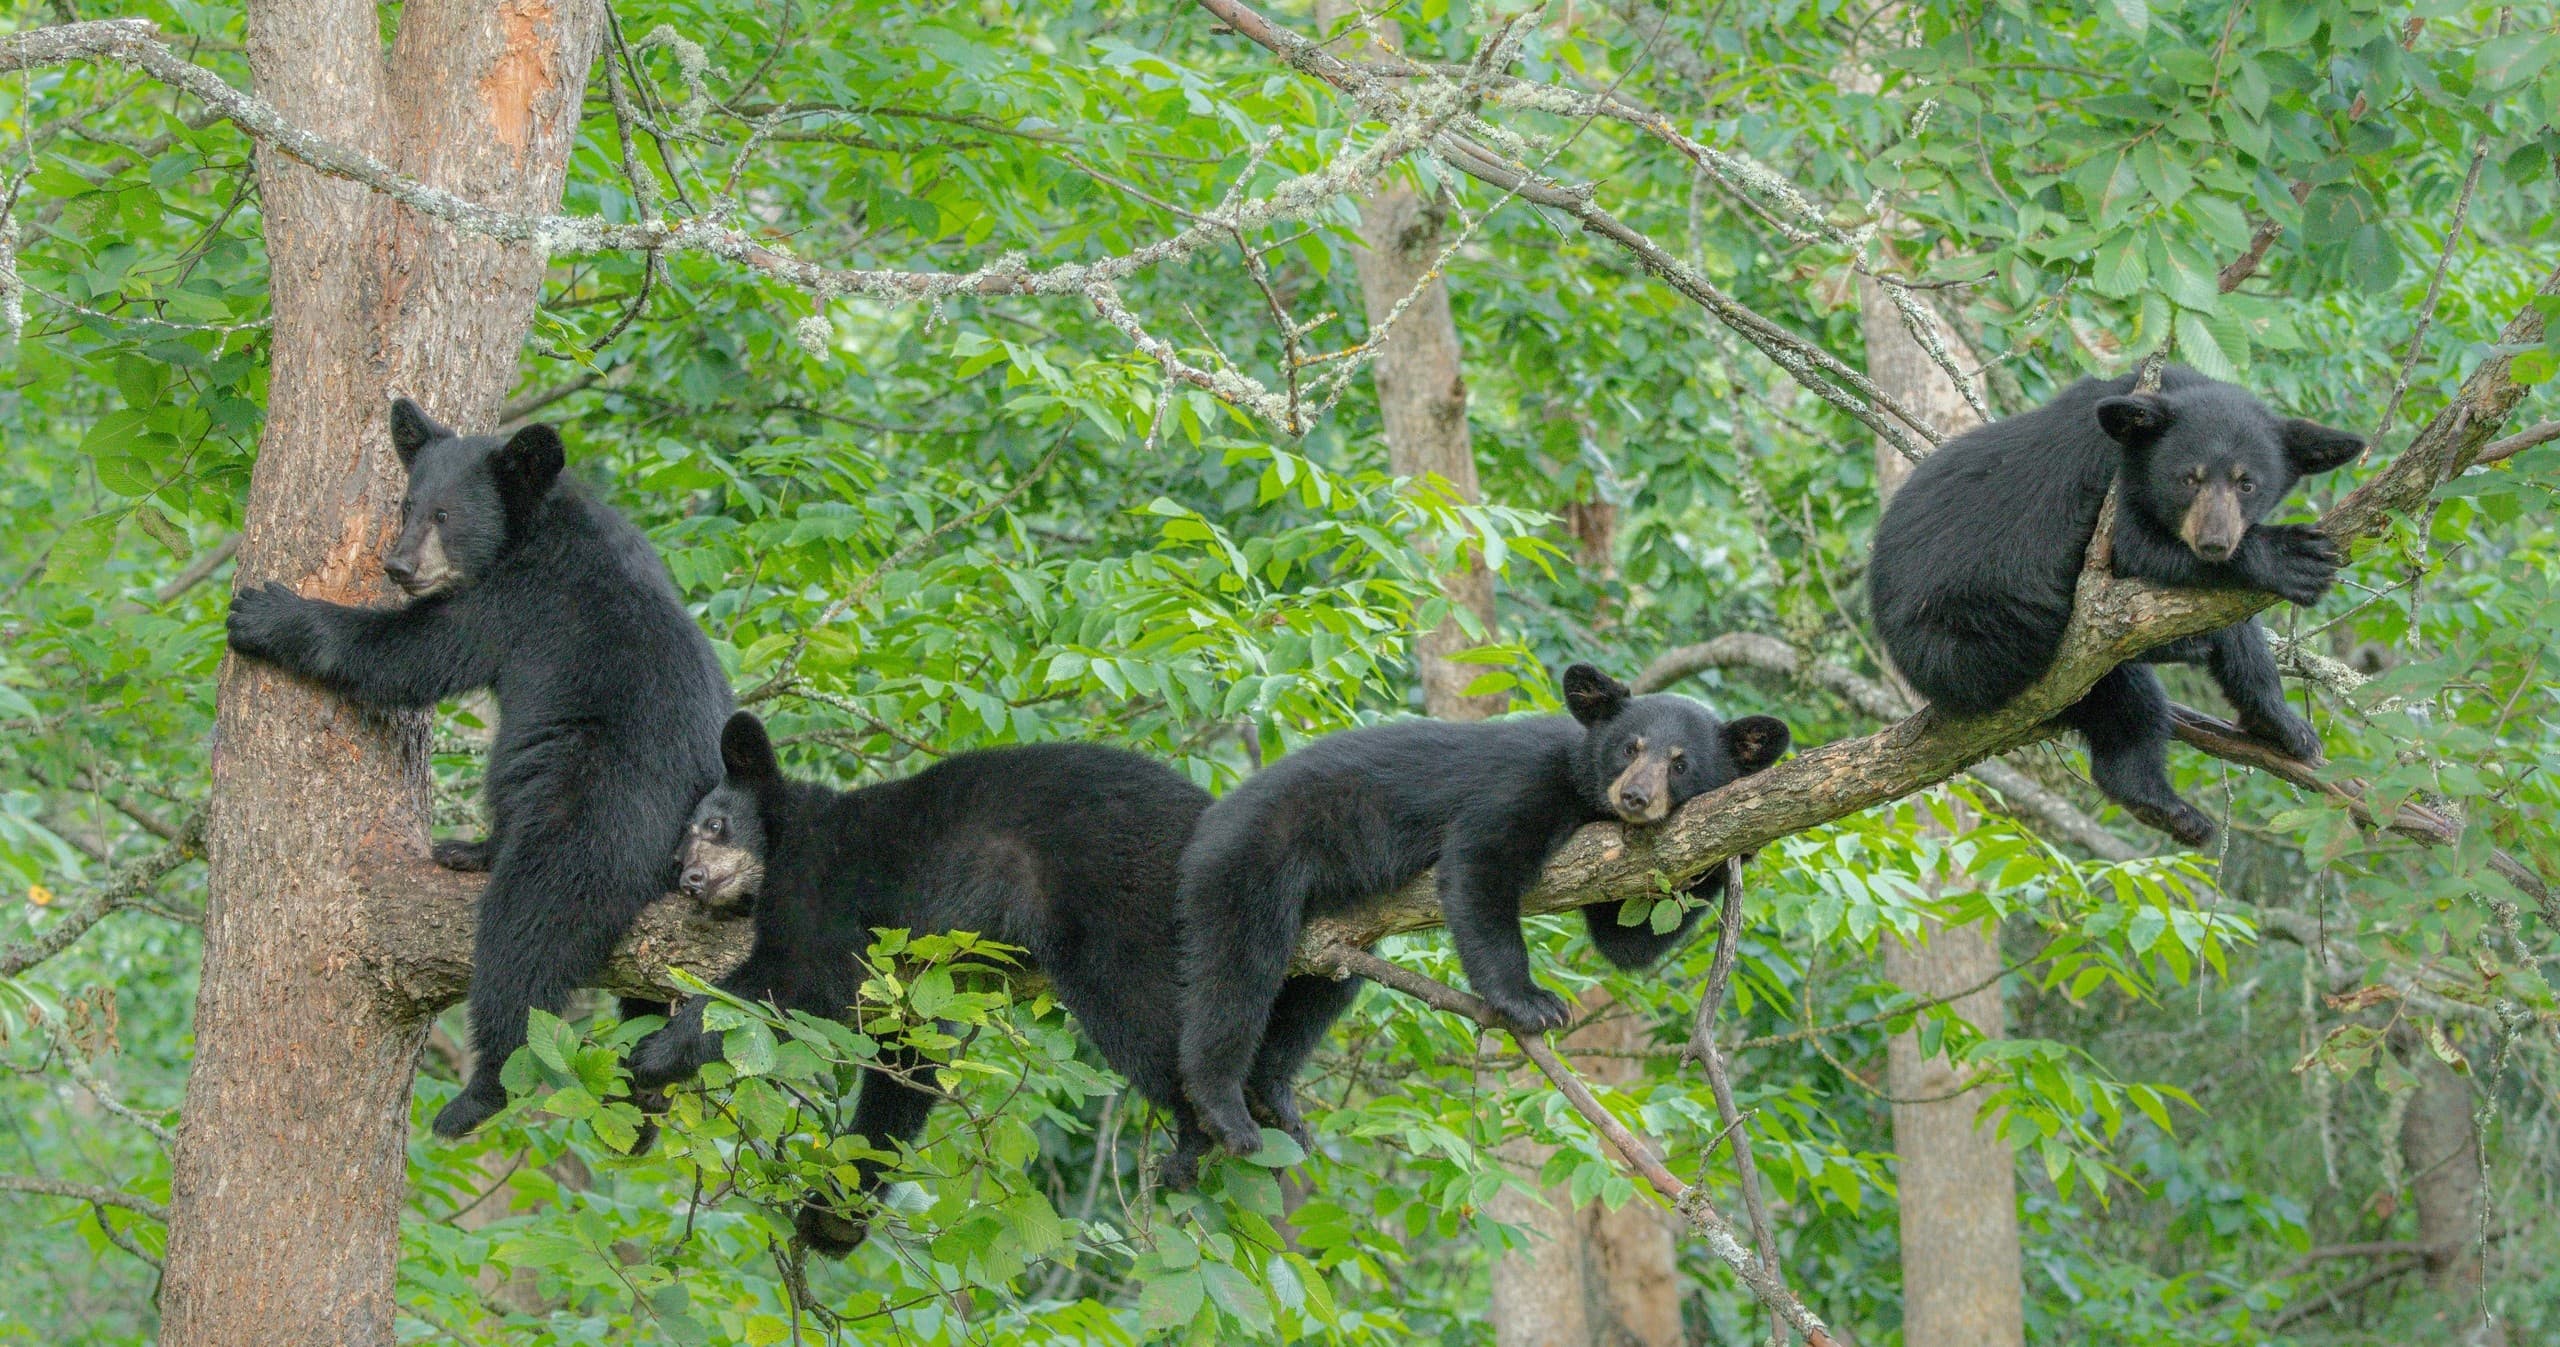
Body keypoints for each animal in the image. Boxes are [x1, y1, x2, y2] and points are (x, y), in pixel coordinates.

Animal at [226, 397, 731, 1137]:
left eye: (446, 515)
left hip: (599, 809)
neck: (535, 525)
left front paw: (268, 613)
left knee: (530, 935)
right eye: (407, 503)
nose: (398, 565)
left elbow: (411, 652)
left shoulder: (513, 601)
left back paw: (479, 1091)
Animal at [626, 711, 1217, 1255]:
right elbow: (911, 1055)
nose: (691, 878)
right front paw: (838, 1214)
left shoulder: (820, 880)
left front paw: (653, 1055)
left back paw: (1200, 1130)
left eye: (716, 825)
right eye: (676, 857)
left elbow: (799, 977)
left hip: (1117, 889)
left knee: (1141, 1005)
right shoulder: (912, 982)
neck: (794, 832)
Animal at [1174, 663, 1790, 1159]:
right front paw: (1533, 1002)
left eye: (1681, 764)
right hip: (1254, 859)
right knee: (1236, 976)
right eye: (1629, 748)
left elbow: (1623, 937)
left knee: (1318, 997)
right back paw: (1225, 1108)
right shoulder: (1525, 781)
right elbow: (1479, 863)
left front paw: (1741, 849)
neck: (1583, 790)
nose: (1634, 797)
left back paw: (1275, 1098)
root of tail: (1209, 823)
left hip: (1331, 933)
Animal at [1866, 365, 2365, 845]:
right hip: (1976, 642)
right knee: (2116, 689)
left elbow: (2237, 626)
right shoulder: (2105, 481)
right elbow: (2135, 545)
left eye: (2247, 483)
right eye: (2188, 478)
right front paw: (2284, 556)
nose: (2214, 543)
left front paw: (2283, 724)